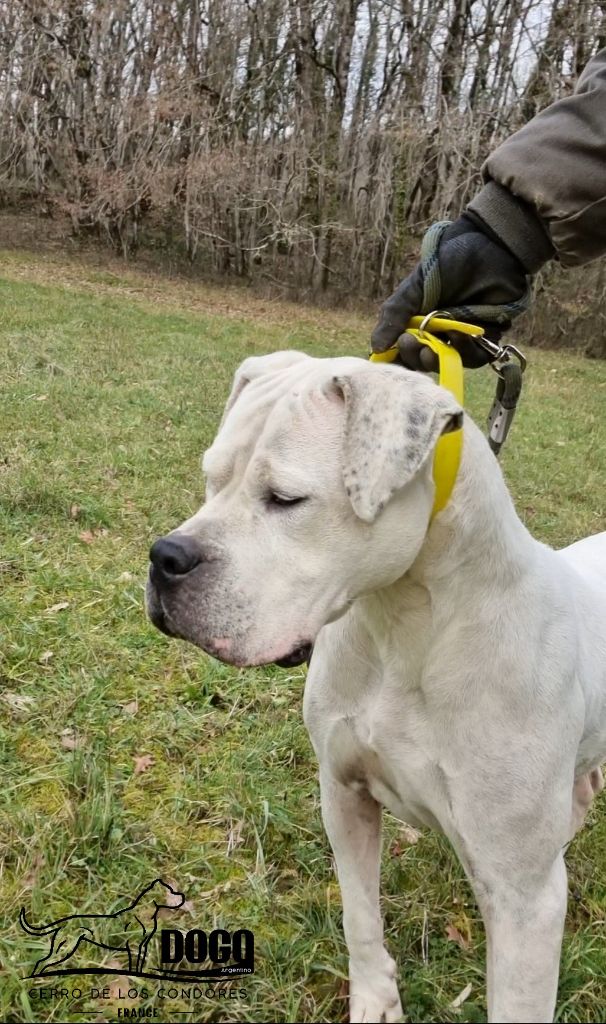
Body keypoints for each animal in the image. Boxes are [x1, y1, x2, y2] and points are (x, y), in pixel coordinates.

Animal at [145, 352, 606, 1024]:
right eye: (212, 479)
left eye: (285, 498)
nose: (165, 557)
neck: (407, 626)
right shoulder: (344, 793)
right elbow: (359, 914)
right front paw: (375, 998)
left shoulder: (524, 901)